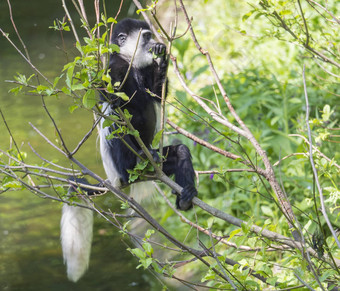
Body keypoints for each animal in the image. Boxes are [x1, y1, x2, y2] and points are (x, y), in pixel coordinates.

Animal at [60, 18, 197, 282]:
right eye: (146, 37)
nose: (155, 43)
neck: (131, 64)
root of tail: (115, 180)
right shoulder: (113, 71)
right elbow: (115, 108)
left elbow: (157, 95)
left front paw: (162, 58)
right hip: (123, 166)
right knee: (115, 123)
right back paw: (143, 157)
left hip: (160, 165)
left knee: (181, 152)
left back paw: (185, 197)